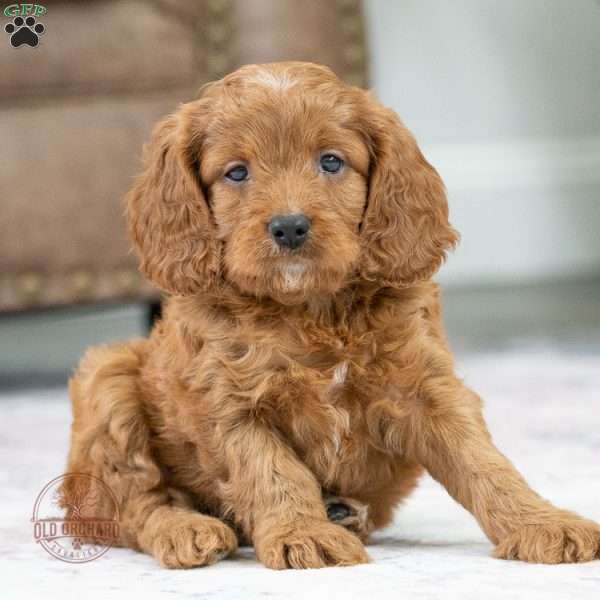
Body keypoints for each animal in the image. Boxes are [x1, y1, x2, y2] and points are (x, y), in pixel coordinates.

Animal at [63, 62, 596, 572]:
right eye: (236, 173)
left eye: (331, 162)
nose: (289, 226)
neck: (313, 307)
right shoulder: (228, 403)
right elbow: (271, 470)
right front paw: (304, 533)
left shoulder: (427, 387)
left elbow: (482, 460)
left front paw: (541, 522)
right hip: (107, 378)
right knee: (129, 507)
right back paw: (187, 529)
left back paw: (343, 510)